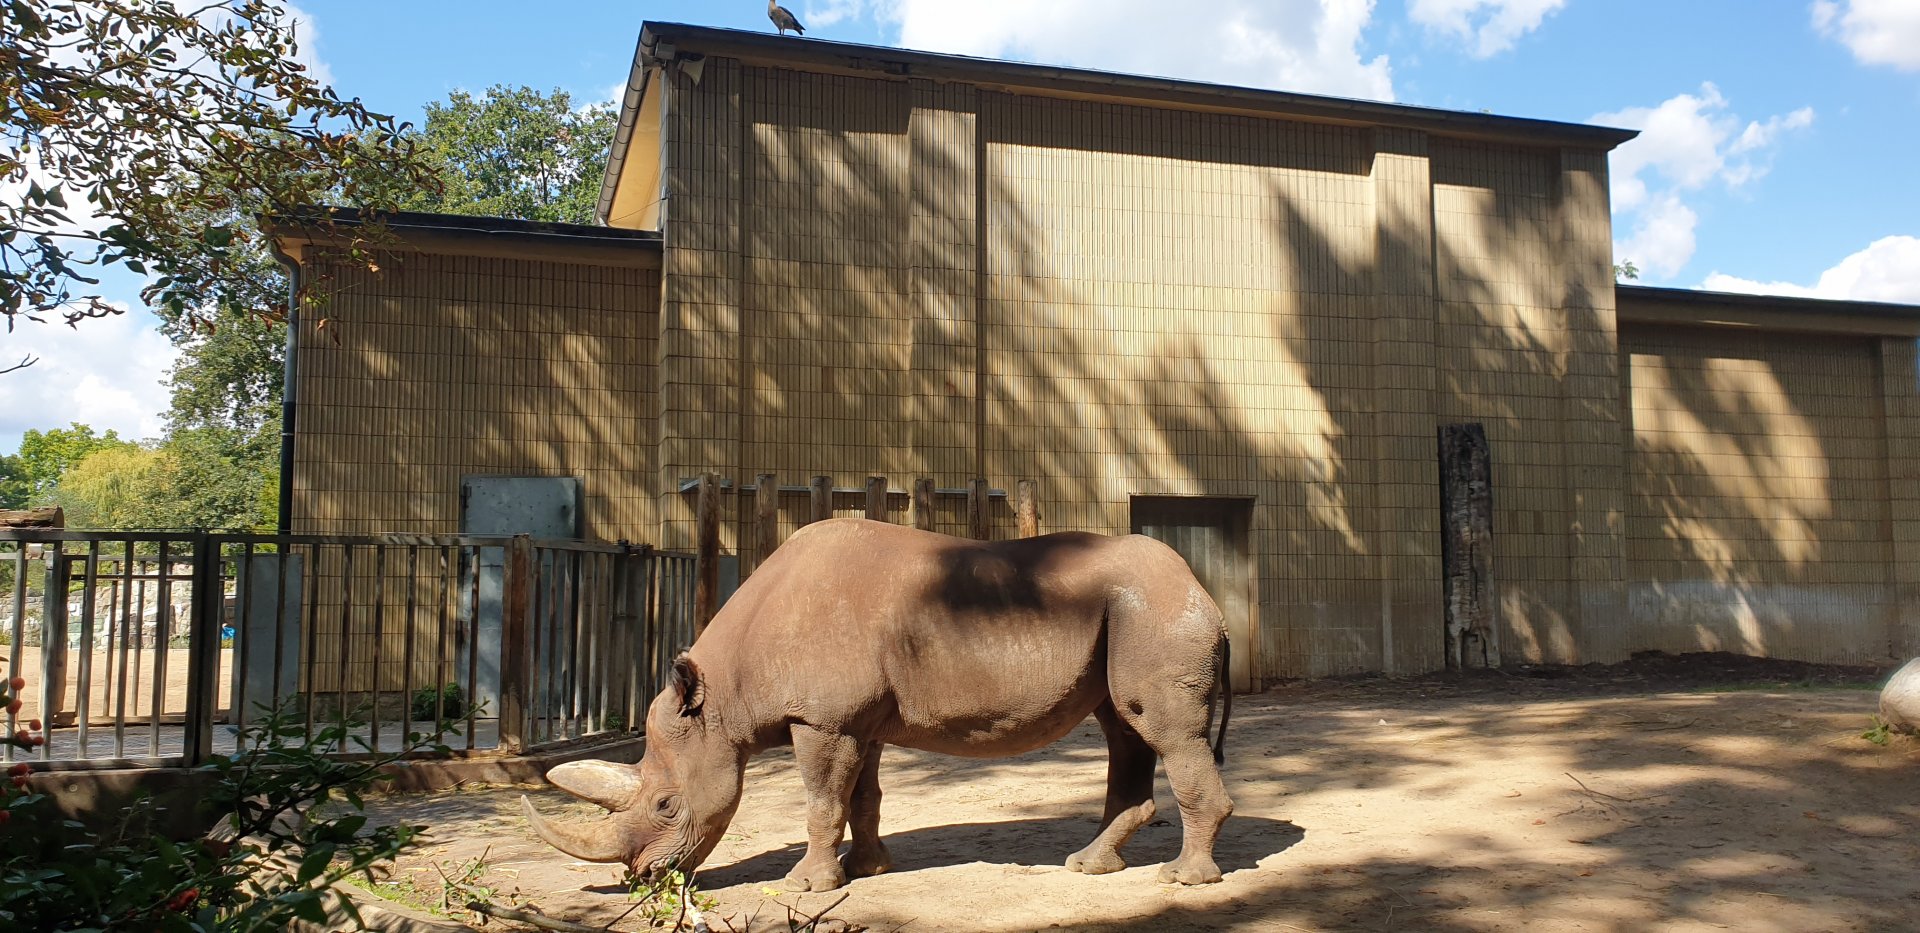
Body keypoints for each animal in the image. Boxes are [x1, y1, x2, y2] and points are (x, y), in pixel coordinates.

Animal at [522, 518, 1234, 891]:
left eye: (667, 806)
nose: (645, 878)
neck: (722, 696)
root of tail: (1206, 596)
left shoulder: (823, 719)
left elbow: (820, 800)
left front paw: (806, 886)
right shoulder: (855, 720)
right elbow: (859, 796)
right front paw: (866, 867)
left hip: (1157, 615)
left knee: (1164, 733)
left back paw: (1184, 879)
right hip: (1134, 615)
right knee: (1125, 731)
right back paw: (1089, 867)